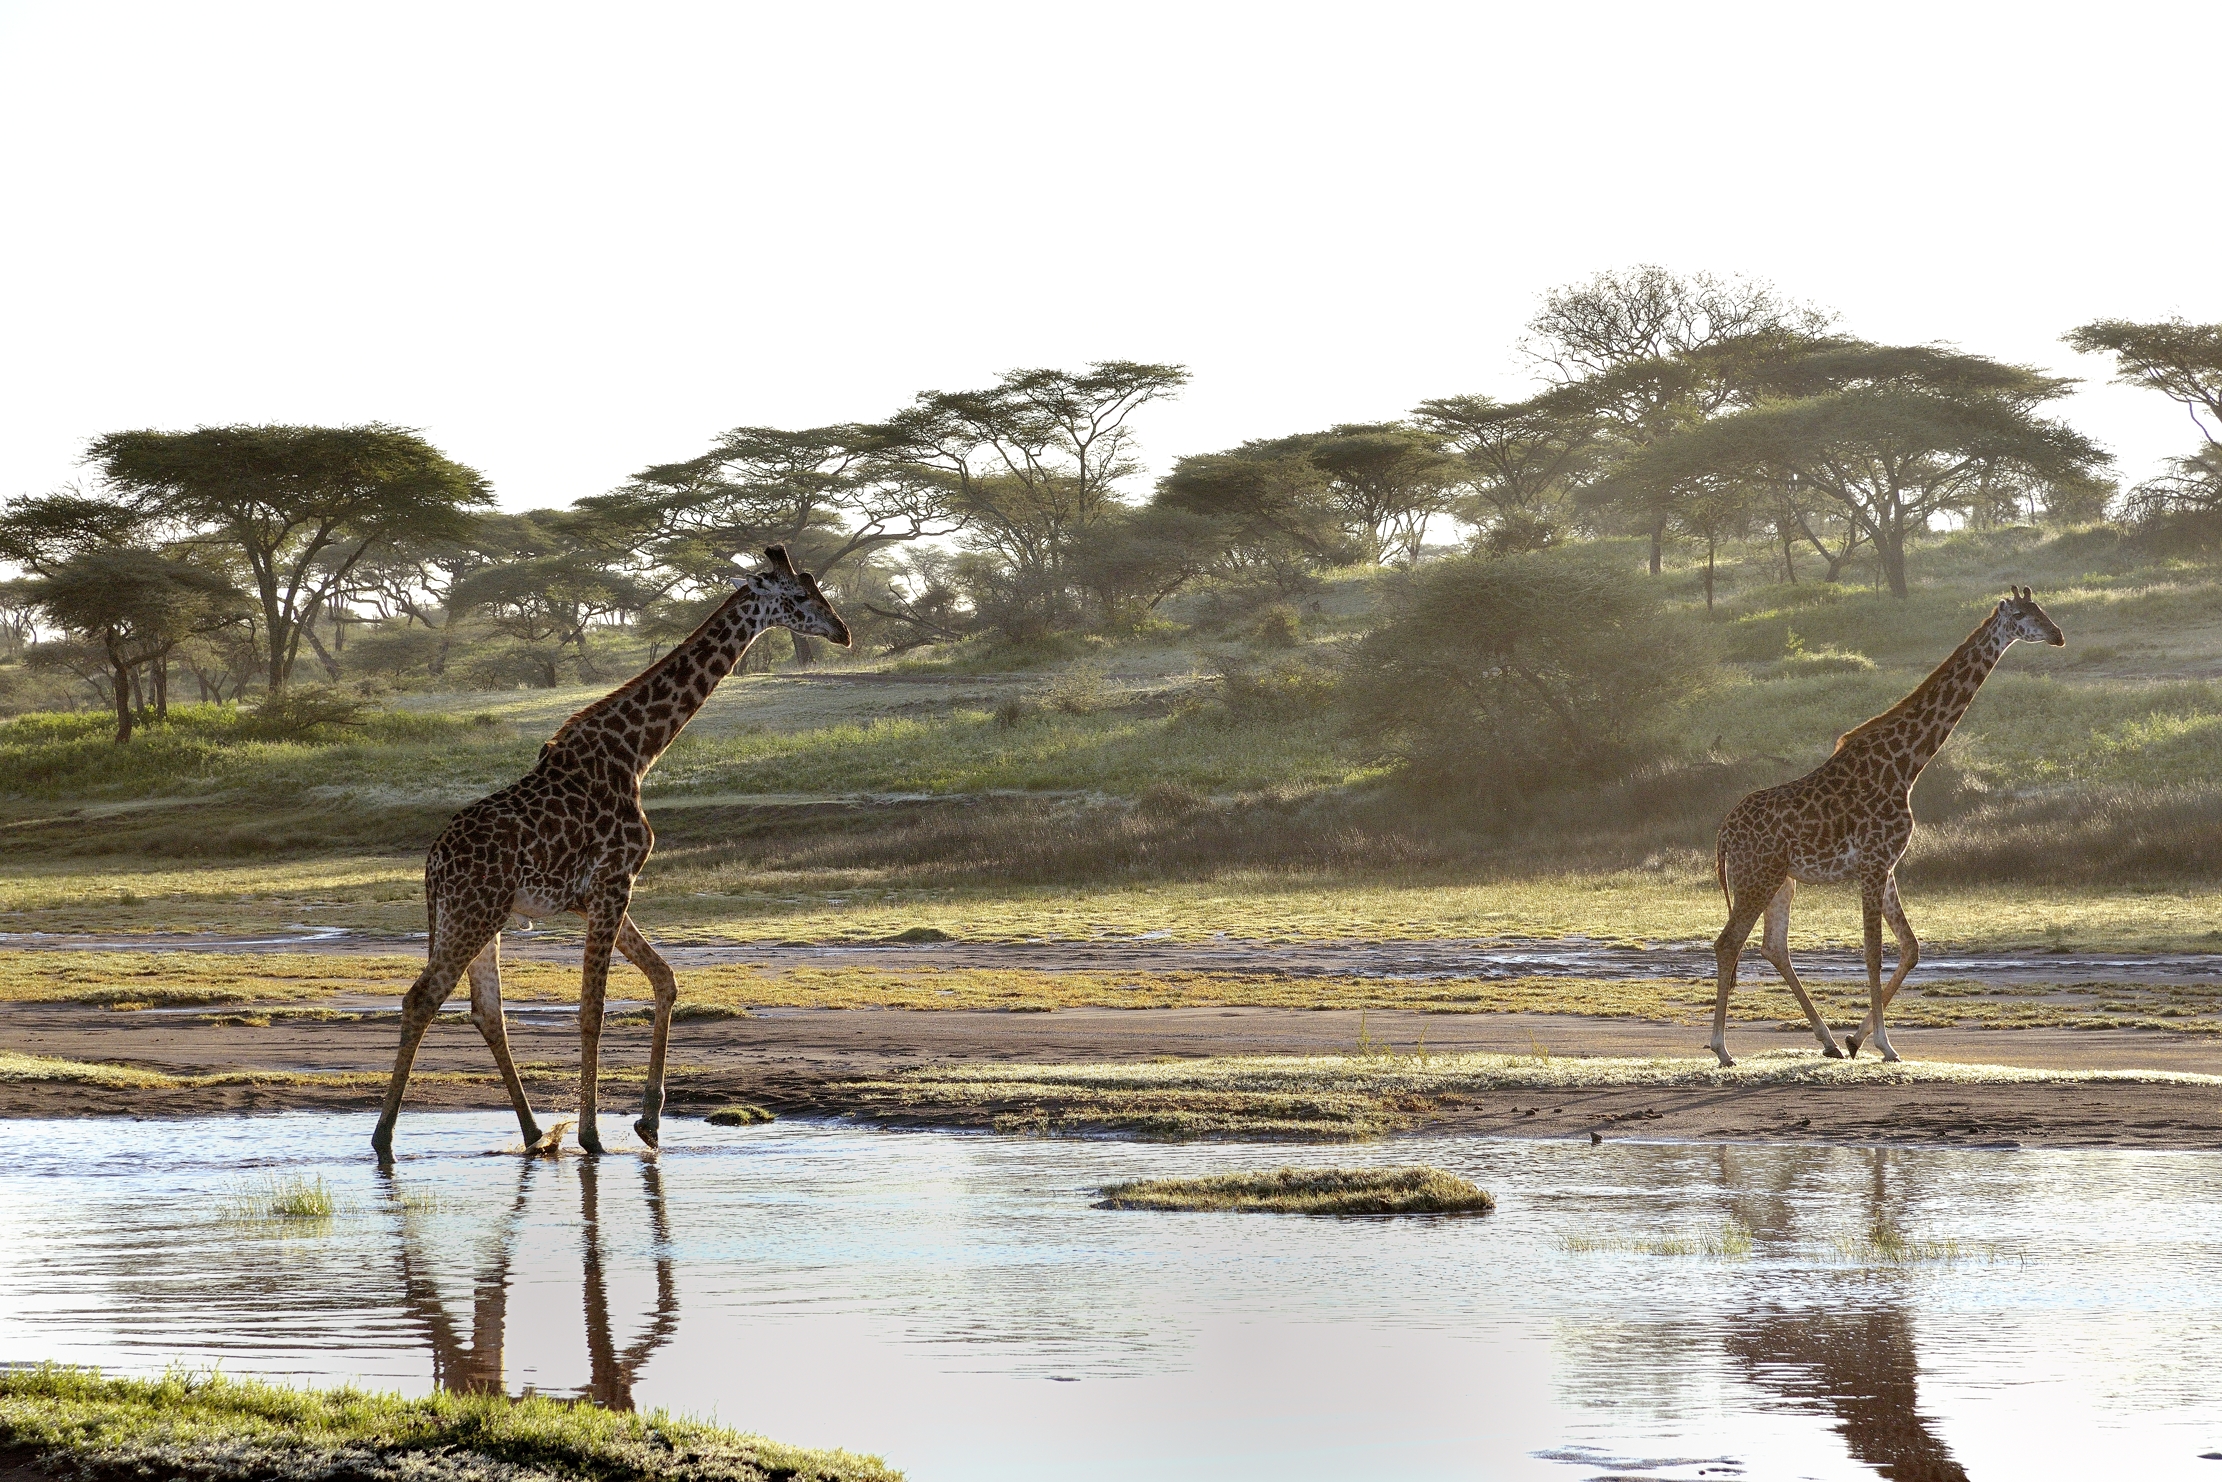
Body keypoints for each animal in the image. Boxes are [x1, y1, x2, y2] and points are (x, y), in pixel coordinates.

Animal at [370, 545, 850, 1163]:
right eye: (797, 596)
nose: (842, 631)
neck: (638, 751)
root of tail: (432, 862)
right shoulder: (614, 882)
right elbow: (592, 1010)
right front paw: (593, 1135)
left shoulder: (600, 893)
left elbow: (665, 980)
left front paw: (649, 1121)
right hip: (472, 912)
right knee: (422, 999)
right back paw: (384, 1138)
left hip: (481, 915)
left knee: (486, 1010)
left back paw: (533, 1132)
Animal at [1707, 588, 2063, 1068]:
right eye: (2025, 614)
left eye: (2046, 610)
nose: (2058, 635)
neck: (1907, 764)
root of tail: (1724, 833)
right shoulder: (1874, 863)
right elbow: (1873, 951)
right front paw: (1885, 1044)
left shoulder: (1888, 865)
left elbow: (1910, 947)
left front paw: (1857, 1040)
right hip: (1756, 875)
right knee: (1729, 942)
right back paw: (1722, 1048)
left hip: (1781, 880)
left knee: (1772, 946)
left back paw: (1827, 1041)